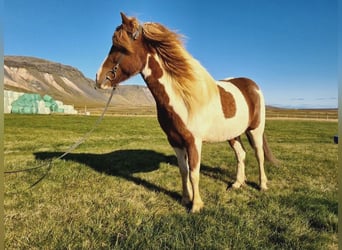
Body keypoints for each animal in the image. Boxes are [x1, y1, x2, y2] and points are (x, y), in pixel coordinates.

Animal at [95, 12, 276, 212]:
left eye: (121, 47)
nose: (99, 79)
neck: (182, 98)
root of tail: (251, 84)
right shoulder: (175, 141)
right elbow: (184, 170)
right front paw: (184, 199)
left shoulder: (193, 141)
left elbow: (194, 173)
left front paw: (196, 205)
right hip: (232, 134)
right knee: (241, 154)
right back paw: (237, 183)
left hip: (255, 130)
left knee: (259, 155)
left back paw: (262, 185)